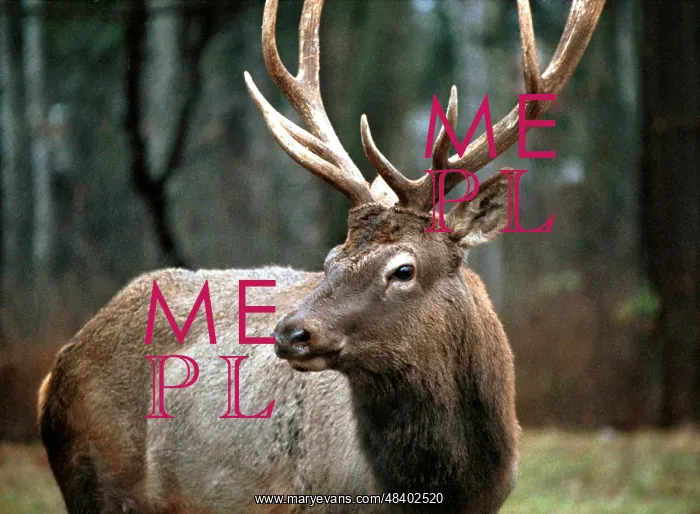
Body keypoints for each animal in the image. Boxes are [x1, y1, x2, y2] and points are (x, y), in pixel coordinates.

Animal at [37, 0, 604, 512]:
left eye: (403, 269)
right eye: (331, 258)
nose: (290, 333)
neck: (444, 486)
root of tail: (54, 372)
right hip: (94, 480)